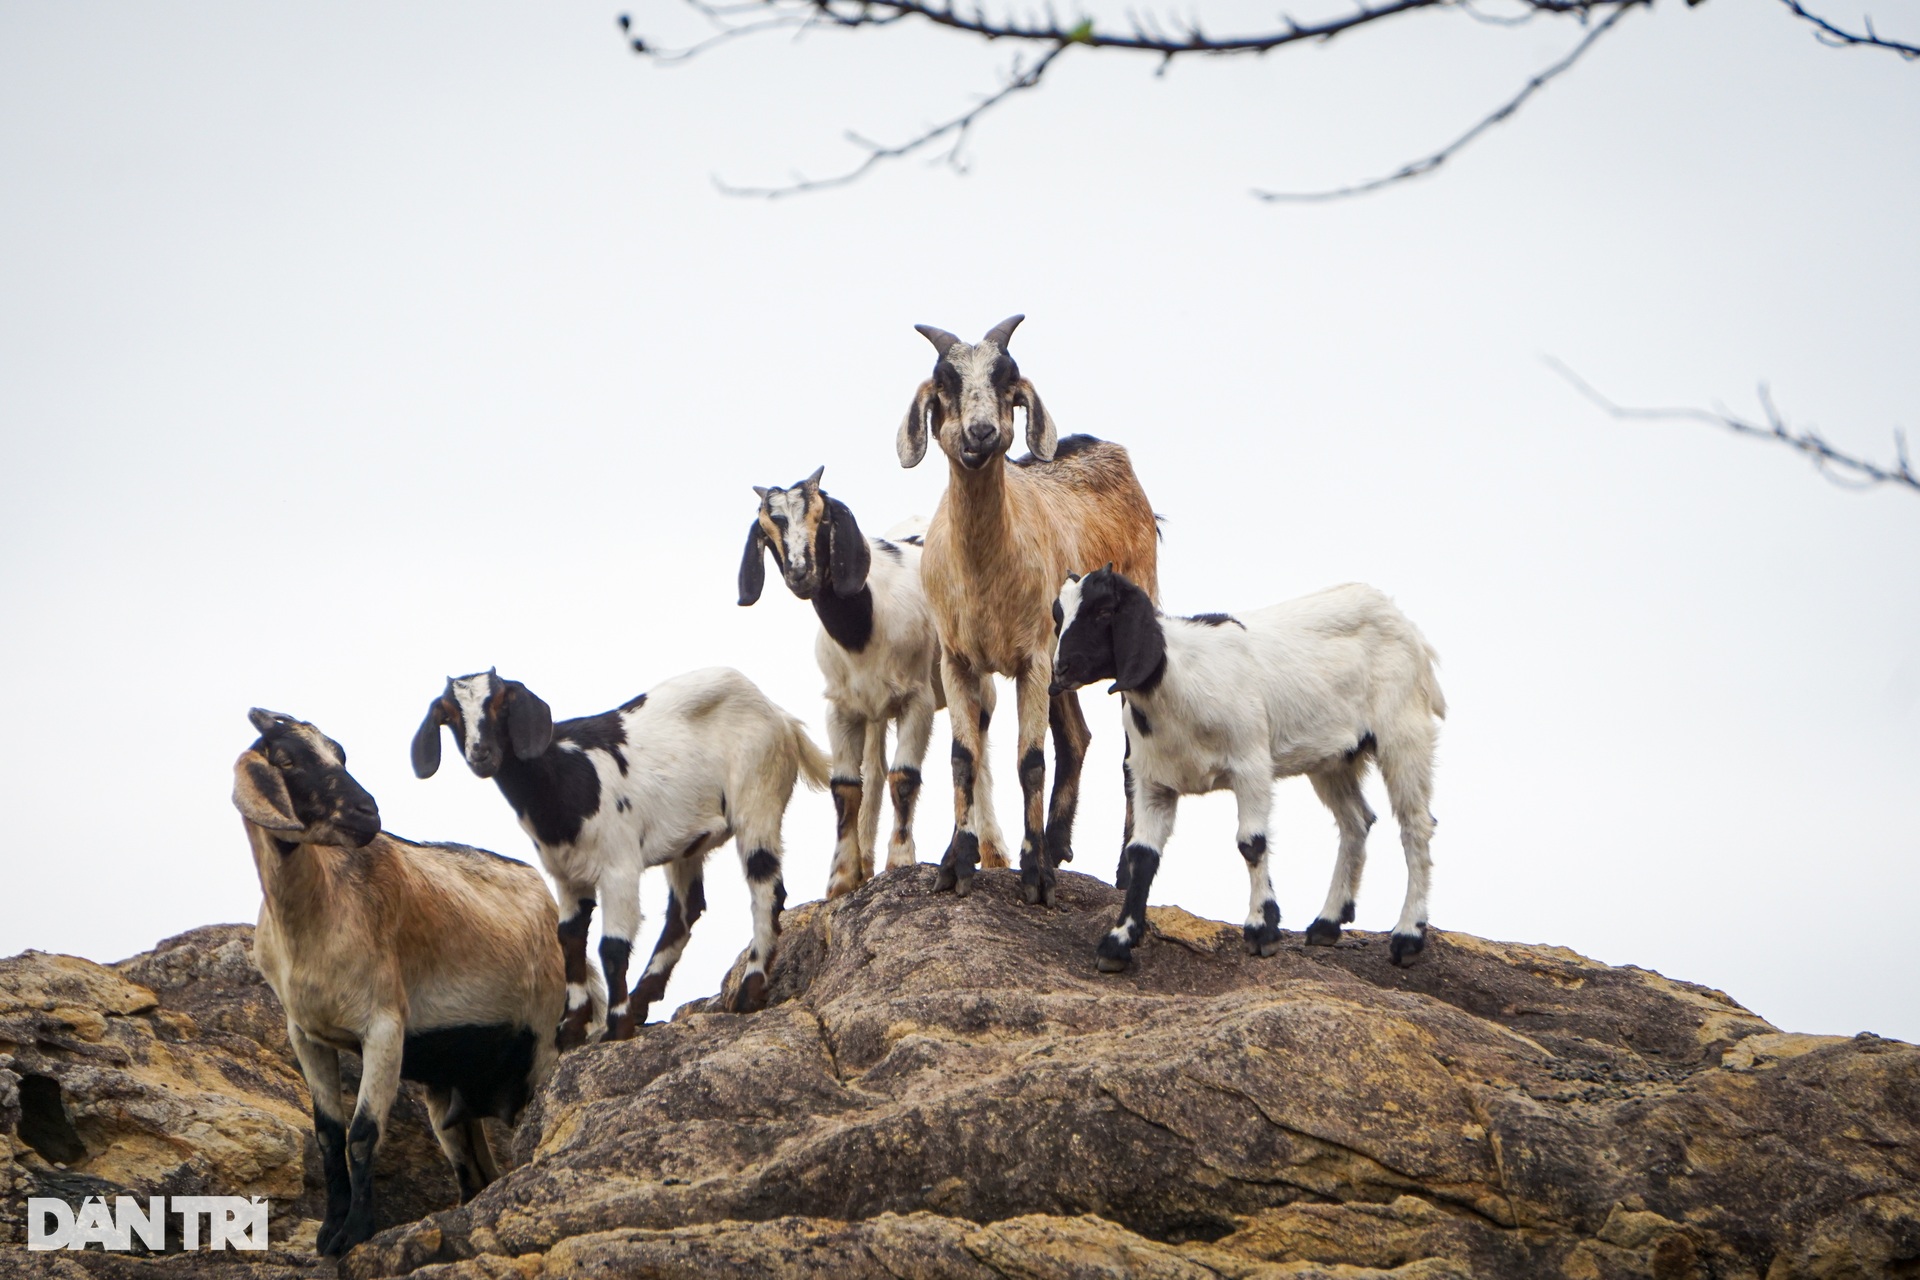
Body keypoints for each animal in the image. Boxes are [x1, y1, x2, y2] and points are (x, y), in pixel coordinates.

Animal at [226, 710, 568, 1258]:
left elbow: (363, 1133)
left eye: (339, 754)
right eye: (284, 759)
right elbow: (328, 1134)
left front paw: (355, 1233)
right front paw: (328, 1232)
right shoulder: (306, 1035)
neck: (316, 916)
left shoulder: (384, 1026)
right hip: (450, 1090)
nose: (367, 813)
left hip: (542, 1044)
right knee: (475, 1174)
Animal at [412, 667, 833, 1043]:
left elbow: (611, 946)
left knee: (766, 887)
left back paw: (749, 990)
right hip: (687, 841)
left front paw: (616, 1028)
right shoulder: (567, 875)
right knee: (685, 909)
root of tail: (781, 717)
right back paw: (644, 999)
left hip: (758, 798)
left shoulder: (619, 867)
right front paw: (571, 1028)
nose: (480, 753)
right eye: (449, 715)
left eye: (502, 702)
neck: (565, 778)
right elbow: (569, 939)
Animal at [733, 466, 944, 898]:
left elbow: (905, 776)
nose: (800, 574)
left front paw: (901, 860)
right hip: (875, 713)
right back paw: (866, 864)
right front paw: (842, 878)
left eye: (824, 517)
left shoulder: (919, 700)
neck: (865, 625)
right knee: (875, 769)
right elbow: (847, 786)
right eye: (767, 529)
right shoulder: (842, 708)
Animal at [894, 314, 1152, 905]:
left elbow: (1031, 760)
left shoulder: (1032, 657)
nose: (981, 434)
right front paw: (956, 865)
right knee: (1077, 736)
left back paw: (1120, 869)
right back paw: (1059, 844)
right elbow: (963, 757)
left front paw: (1035, 876)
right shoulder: (957, 660)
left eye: (1007, 385)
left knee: (1130, 751)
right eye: (945, 385)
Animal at [1052, 568, 1443, 971]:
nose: (1061, 670)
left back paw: (1408, 936)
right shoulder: (1153, 781)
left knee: (1415, 825)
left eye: (1103, 611)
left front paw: (1261, 930)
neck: (1178, 680)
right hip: (1332, 756)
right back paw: (1327, 923)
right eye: (1058, 616)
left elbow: (1251, 843)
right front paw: (1117, 942)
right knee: (1356, 821)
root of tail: (1400, 620)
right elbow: (1142, 855)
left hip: (1403, 731)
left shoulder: (1251, 763)